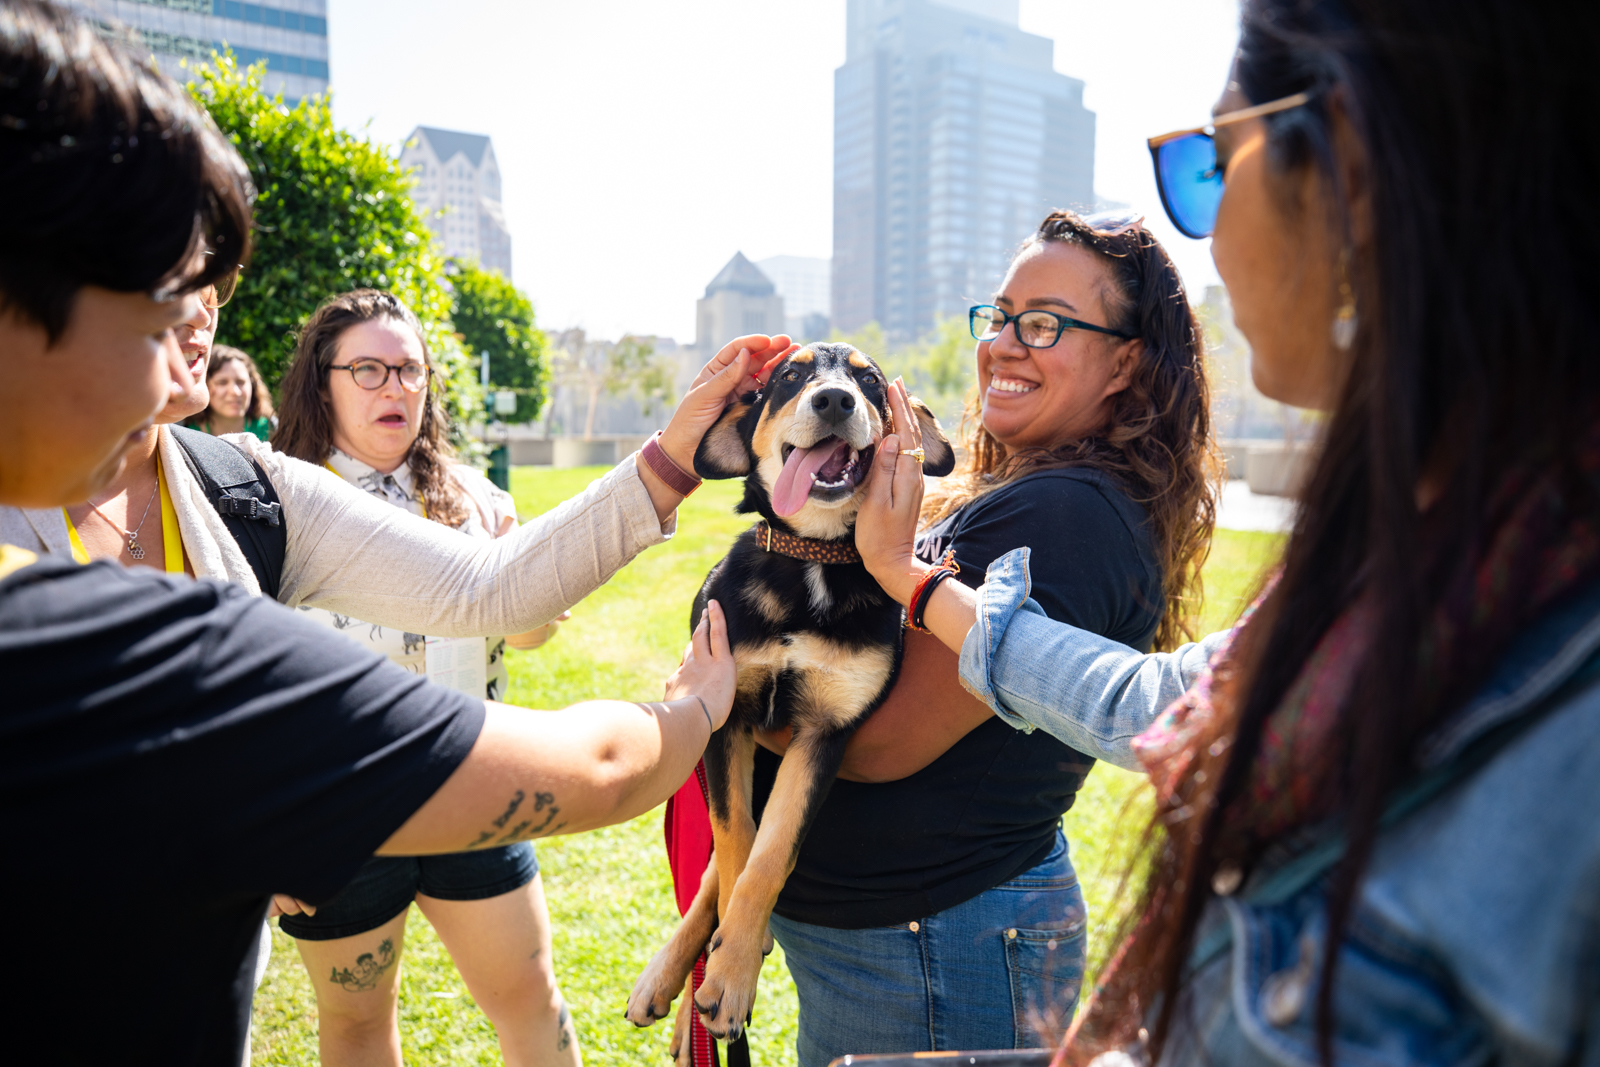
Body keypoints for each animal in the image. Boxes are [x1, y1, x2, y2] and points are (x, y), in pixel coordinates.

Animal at [624, 343, 947, 1049]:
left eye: (869, 380)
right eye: (790, 376)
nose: (834, 400)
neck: (813, 561)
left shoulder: (826, 734)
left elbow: (771, 853)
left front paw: (733, 969)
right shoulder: (724, 718)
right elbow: (735, 840)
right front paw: (728, 960)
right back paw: (667, 978)